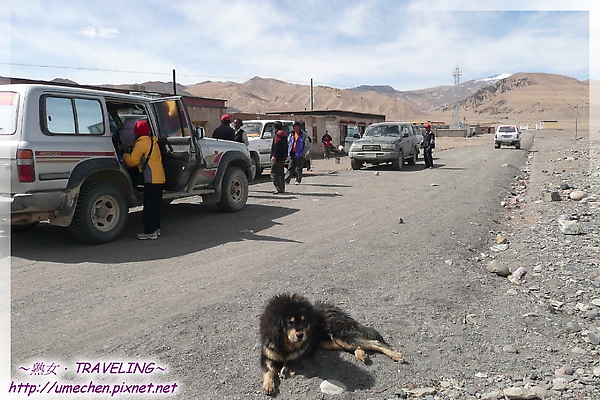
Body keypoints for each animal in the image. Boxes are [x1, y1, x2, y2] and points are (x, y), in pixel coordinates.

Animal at [258, 292, 404, 396]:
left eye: (304, 321)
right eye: (290, 322)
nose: (300, 335)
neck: (285, 343)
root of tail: (335, 309)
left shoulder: (302, 352)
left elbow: (289, 362)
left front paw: (286, 370)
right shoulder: (266, 356)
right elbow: (268, 371)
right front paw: (268, 385)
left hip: (340, 335)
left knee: (374, 342)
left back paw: (395, 355)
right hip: (327, 341)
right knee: (350, 346)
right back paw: (361, 353)